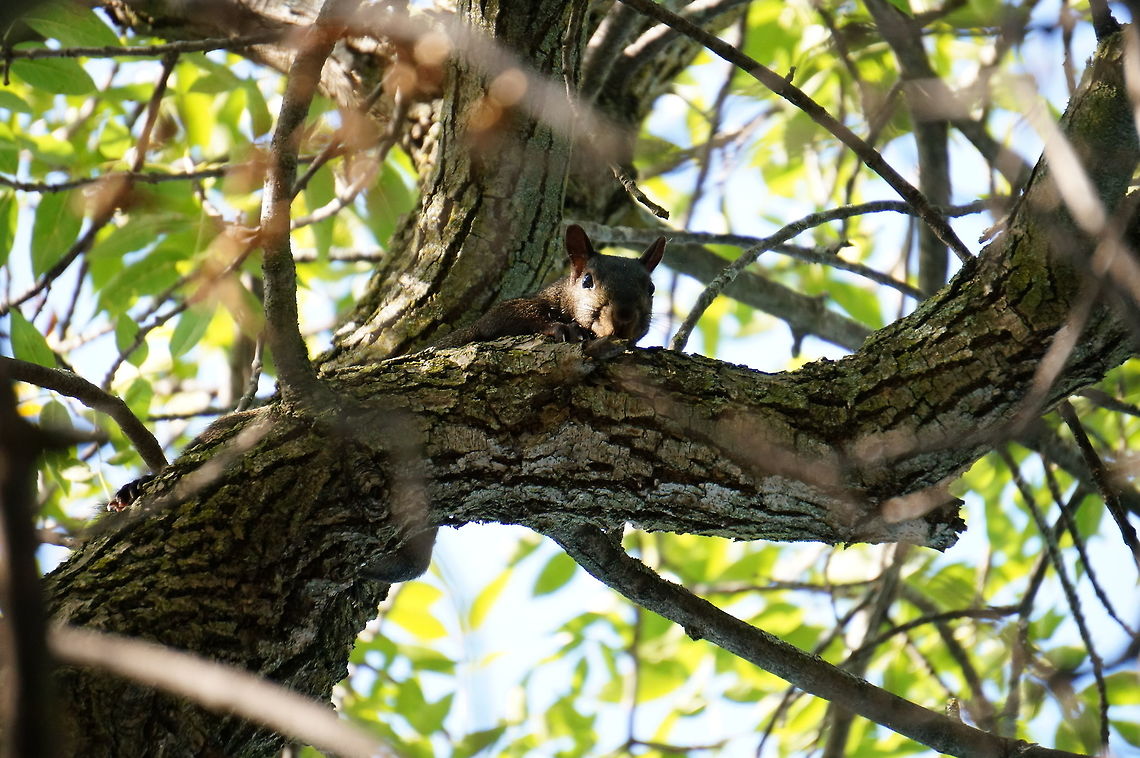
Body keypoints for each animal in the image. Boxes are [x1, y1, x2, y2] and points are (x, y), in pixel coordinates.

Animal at [433, 224, 667, 348]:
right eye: (587, 281)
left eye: (651, 289)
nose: (624, 316)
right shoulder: (504, 312)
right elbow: (502, 317)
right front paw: (564, 328)